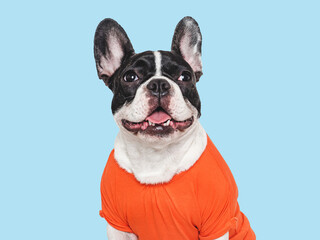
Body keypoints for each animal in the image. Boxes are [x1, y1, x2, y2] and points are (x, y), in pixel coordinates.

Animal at [93, 16, 255, 240]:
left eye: (185, 76)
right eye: (130, 77)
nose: (159, 84)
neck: (156, 156)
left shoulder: (215, 223)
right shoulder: (117, 226)